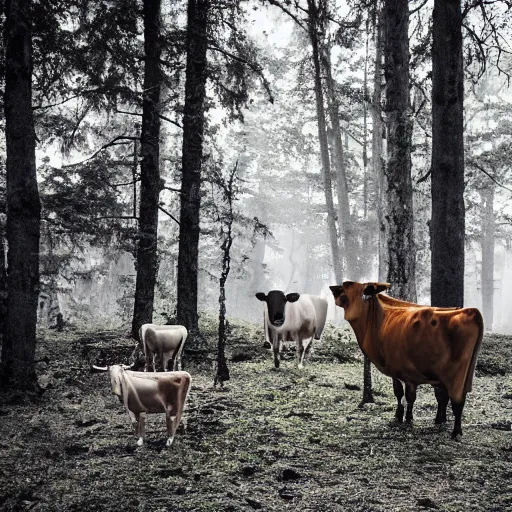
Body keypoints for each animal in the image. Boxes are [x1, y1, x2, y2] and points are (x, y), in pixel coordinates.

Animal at [330, 282, 482, 438]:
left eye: (345, 288)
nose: (332, 289)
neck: (379, 317)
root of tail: (471, 311)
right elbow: (435, 396)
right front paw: (436, 419)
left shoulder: (398, 369)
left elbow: (403, 393)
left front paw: (404, 417)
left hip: (457, 375)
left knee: (458, 402)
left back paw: (456, 431)